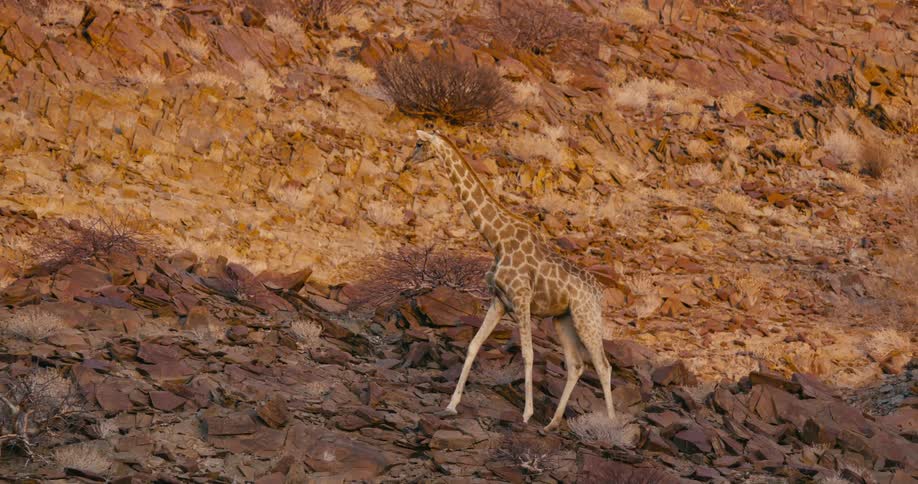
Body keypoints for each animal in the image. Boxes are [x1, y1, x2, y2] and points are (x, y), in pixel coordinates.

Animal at [406, 130, 615, 430]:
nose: (407, 163)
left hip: (585, 317)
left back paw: (610, 425)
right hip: (563, 318)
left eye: (420, 143)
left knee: (603, 366)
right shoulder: (500, 301)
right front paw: (451, 405)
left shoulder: (521, 298)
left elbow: (528, 354)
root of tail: (599, 294)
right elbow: (473, 345)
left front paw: (526, 413)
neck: (497, 239)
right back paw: (552, 423)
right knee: (576, 365)